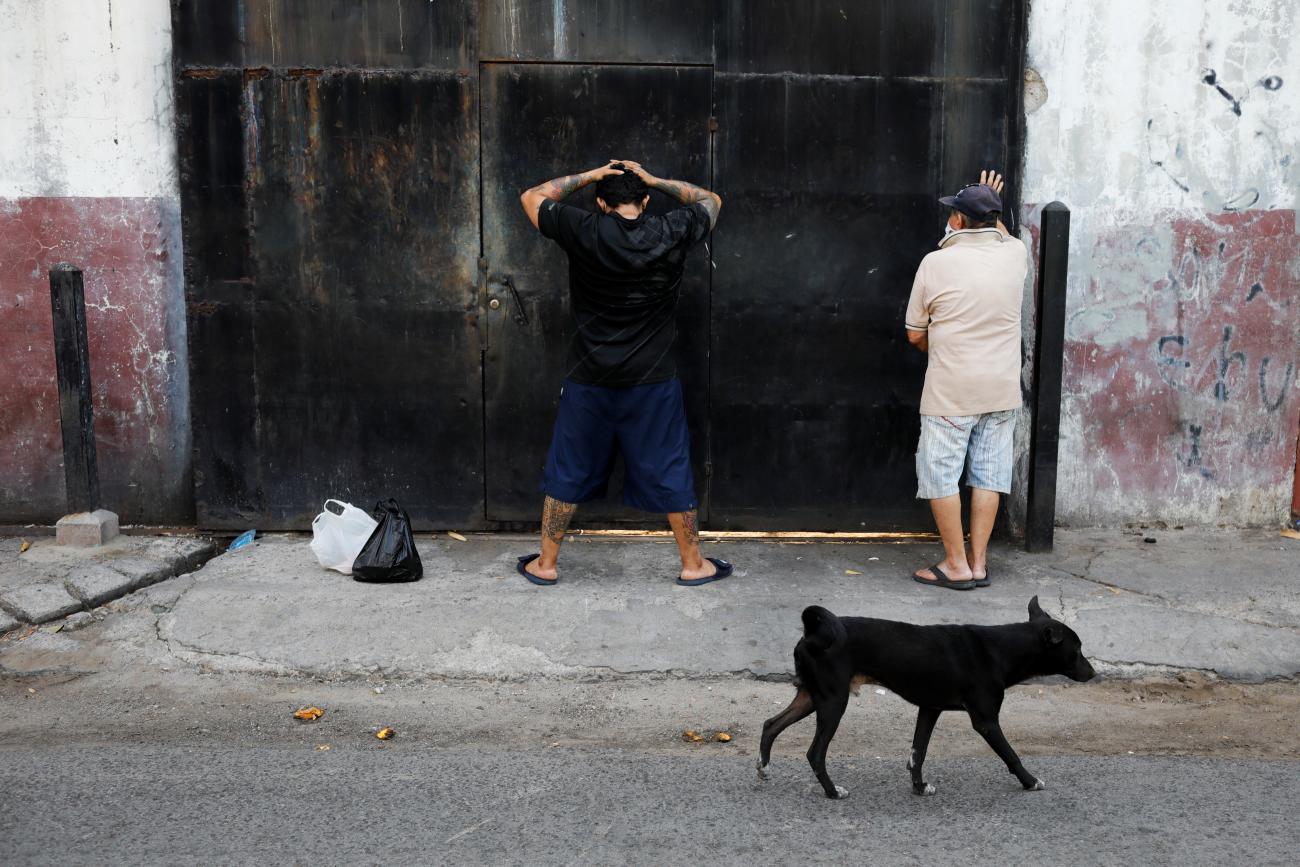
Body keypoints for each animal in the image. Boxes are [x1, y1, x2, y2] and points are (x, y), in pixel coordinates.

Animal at [759, 597, 1092, 800]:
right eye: (1076, 649)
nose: (1092, 673)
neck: (1001, 649)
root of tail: (813, 633)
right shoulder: (985, 721)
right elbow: (1011, 755)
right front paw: (1030, 781)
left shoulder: (929, 709)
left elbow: (917, 753)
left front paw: (918, 787)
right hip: (833, 702)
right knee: (815, 752)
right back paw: (832, 791)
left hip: (811, 696)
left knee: (770, 724)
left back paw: (763, 767)